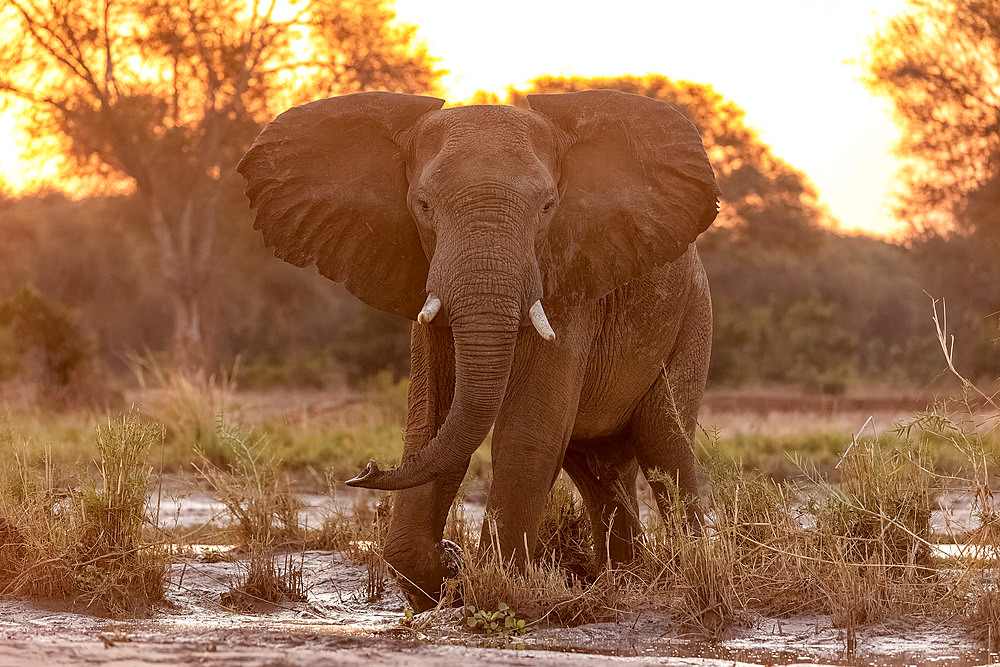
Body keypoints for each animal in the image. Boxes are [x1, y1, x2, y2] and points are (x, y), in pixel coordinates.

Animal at [238, 88, 724, 612]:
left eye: (548, 207)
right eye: (423, 205)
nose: (366, 470)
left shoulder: (568, 274)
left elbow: (527, 429)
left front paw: (489, 583)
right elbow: (431, 418)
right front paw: (448, 577)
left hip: (694, 313)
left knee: (662, 439)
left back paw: (683, 574)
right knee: (598, 465)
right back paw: (627, 583)